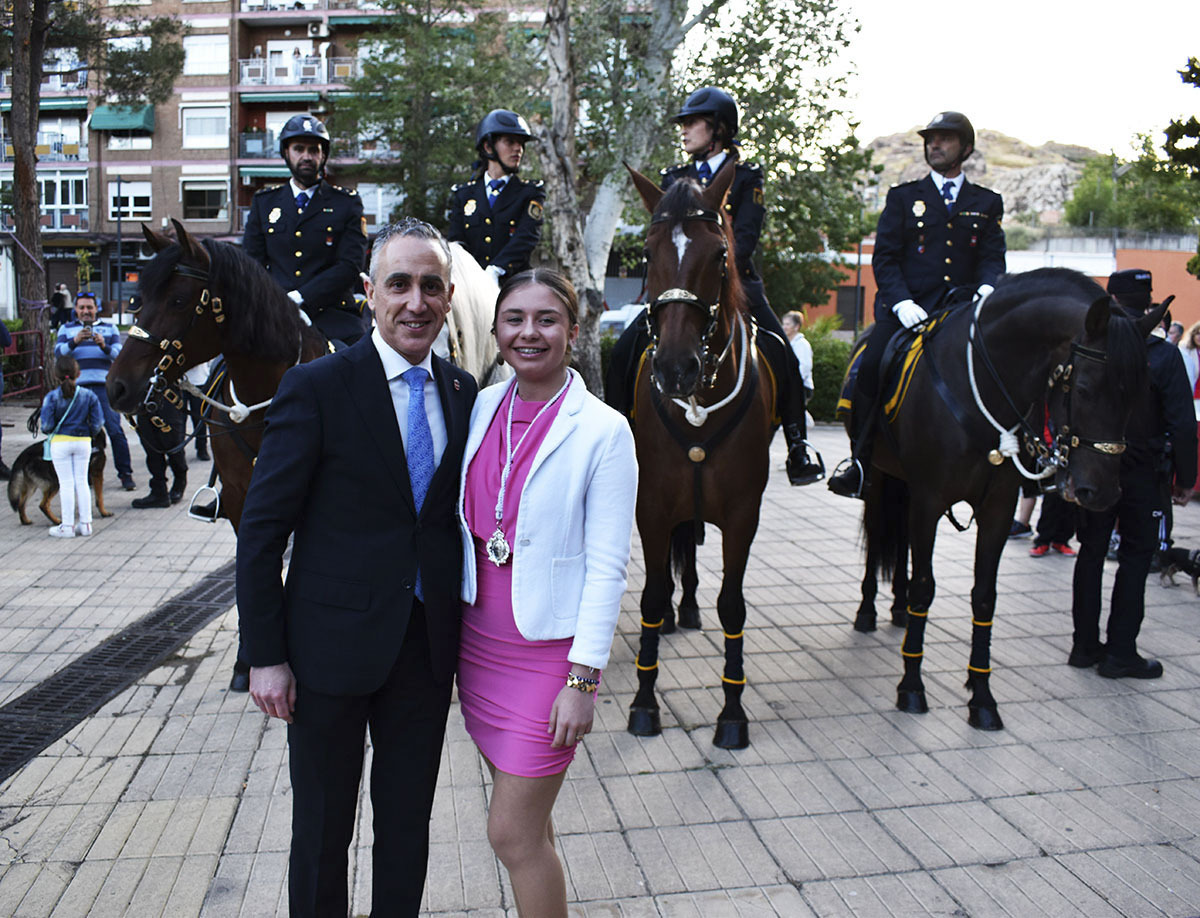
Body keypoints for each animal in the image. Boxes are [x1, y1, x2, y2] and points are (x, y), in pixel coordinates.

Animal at [628, 160, 777, 748]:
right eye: (648, 255)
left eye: (719, 255)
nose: (674, 368)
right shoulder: (650, 507)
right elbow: (650, 595)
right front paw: (644, 703)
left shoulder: (742, 515)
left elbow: (732, 605)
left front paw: (732, 712)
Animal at [859, 266, 1166, 729]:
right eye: (1086, 389)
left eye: (1138, 393)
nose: (1101, 493)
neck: (980, 391)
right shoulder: (930, 500)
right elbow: (925, 588)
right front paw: (912, 686)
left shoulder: (998, 509)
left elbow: (984, 595)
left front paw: (982, 695)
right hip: (879, 477)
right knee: (878, 535)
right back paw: (868, 611)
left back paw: (896, 608)